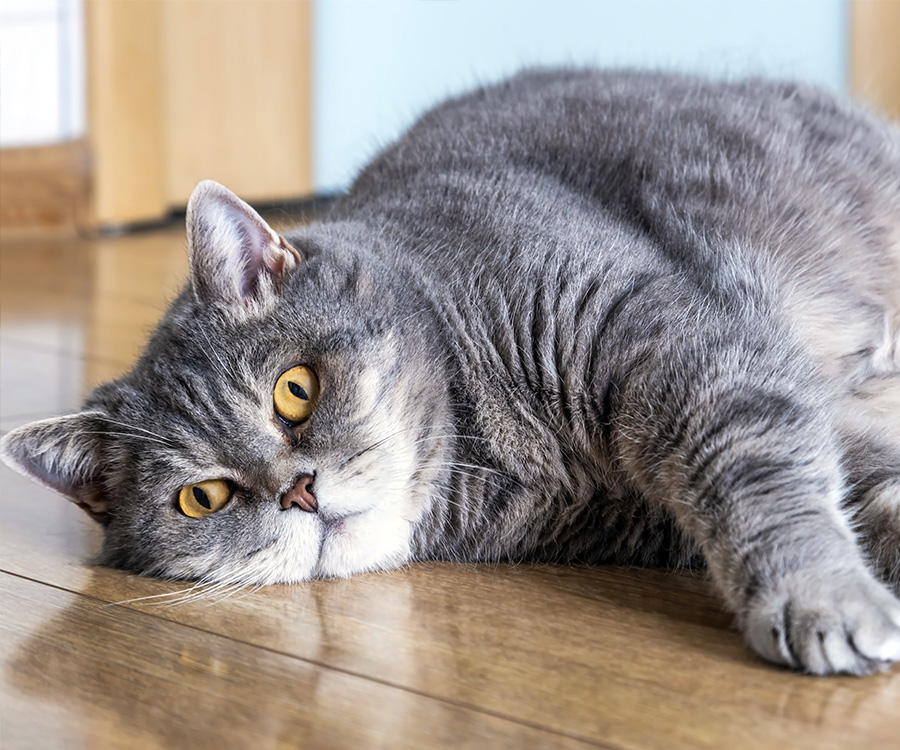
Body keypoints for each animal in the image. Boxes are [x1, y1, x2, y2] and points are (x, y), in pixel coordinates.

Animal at [1, 70, 900, 680]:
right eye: (203, 499)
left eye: (295, 389)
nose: (300, 492)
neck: (495, 442)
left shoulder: (677, 347)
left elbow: (757, 477)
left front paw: (821, 599)